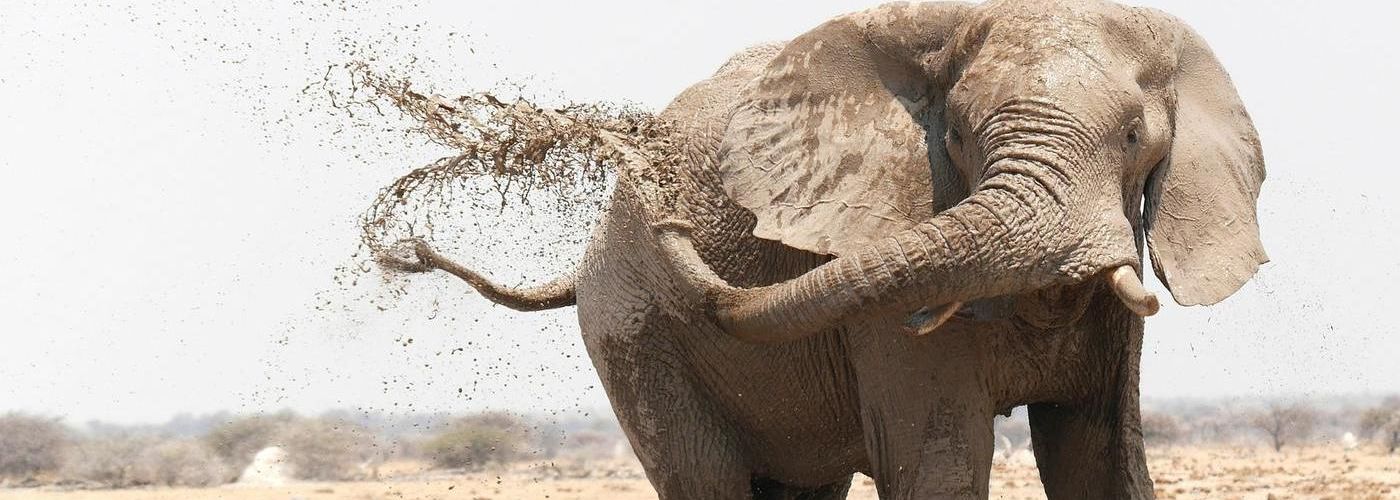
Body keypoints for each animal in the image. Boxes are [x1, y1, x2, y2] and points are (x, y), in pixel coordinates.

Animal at [383, 0, 1271, 495]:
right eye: (956, 134)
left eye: (1135, 137)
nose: (406, 250)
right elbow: (940, 462)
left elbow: (1099, 463)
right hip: (632, 332)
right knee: (706, 480)